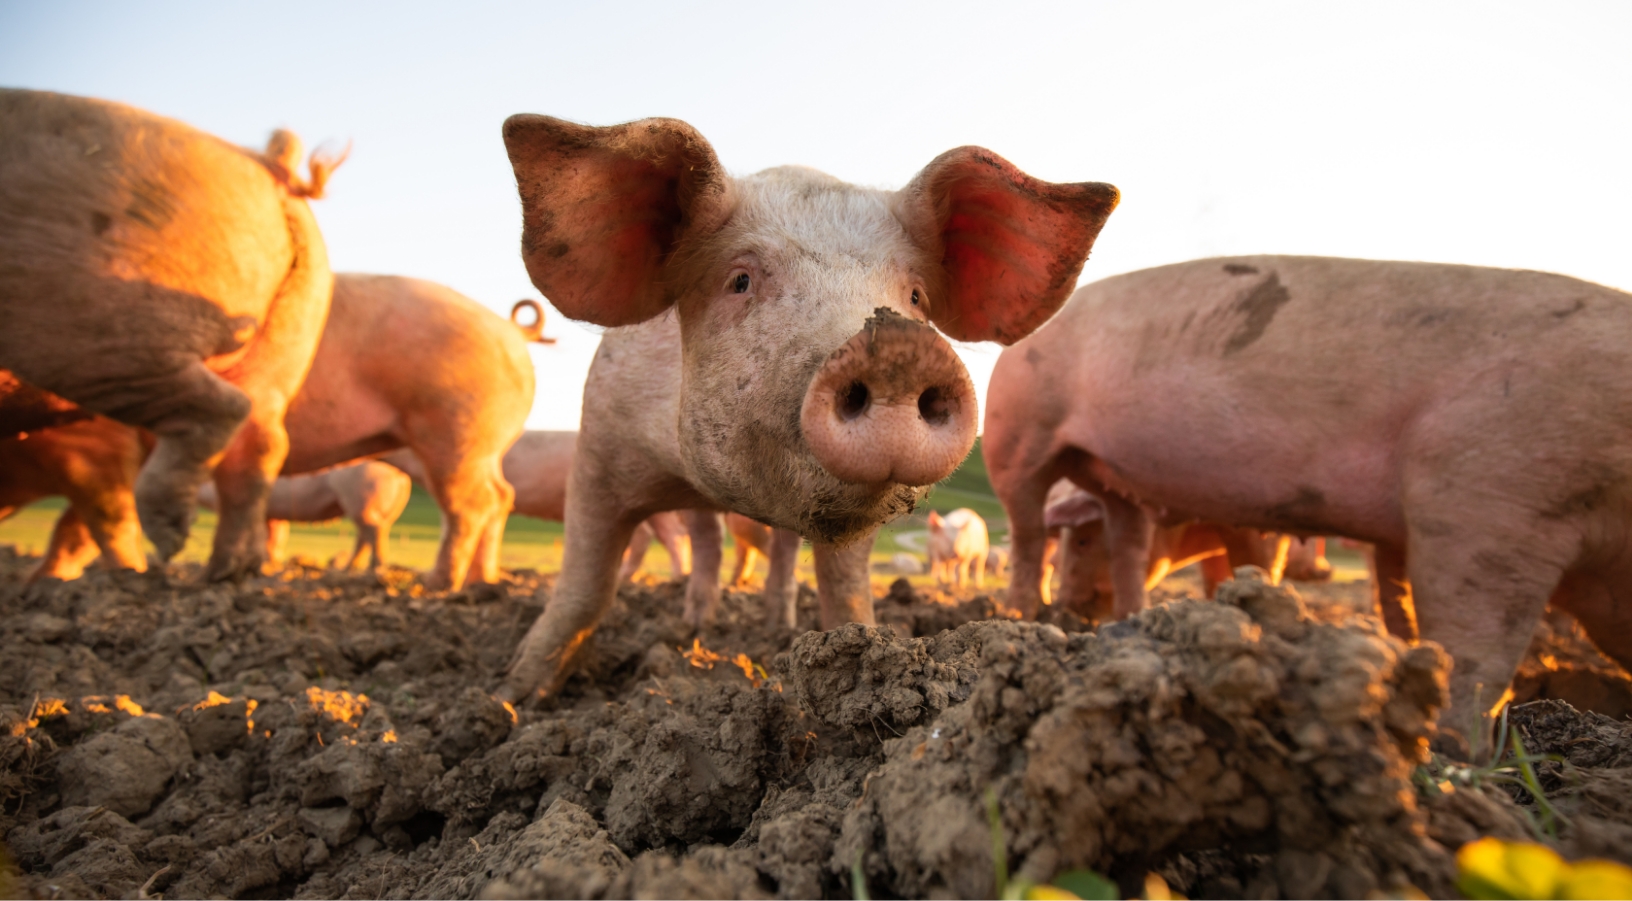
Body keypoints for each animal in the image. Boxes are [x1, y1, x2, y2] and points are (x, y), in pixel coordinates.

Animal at [0, 90, 343, 580]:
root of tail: (267, 165)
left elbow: (102, 510)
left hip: (97, 323)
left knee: (222, 410)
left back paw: (170, 543)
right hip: (293, 326)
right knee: (262, 439)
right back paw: (227, 571)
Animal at [197, 461, 411, 570]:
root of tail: (400, 473)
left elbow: (265, 536)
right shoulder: (275, 512)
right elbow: (277, 537)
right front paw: (274, 562)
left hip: (359, 493)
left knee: (373, 531)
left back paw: (374, 568)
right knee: (369, 533)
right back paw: (350, 568)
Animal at [278, 274, 539, 589]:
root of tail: (511, 329)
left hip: (457, 433)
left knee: (470, 506)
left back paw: (435, 584)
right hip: (483, 449)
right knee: (500, 495)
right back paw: (479, 582)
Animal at [497, 115, 1118, 700]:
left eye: (915, 295)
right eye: (740, 280)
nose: (899, 348)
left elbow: (844, 584)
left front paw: (867, 656)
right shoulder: (599, 445)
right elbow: (585, 584)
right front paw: (517, 696)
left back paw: (773, 626)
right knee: (707, 545)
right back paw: (690, 630)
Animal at [985, 254, 1632, 744]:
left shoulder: (1414, 525)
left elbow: (1397, 599)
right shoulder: (1483, 487)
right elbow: (1475, 643)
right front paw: (1450, 747)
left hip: (1110, 479)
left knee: (1125, 541)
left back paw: (1121, 619)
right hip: (1015, 432)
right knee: (1027, 530)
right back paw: (1020, 616)